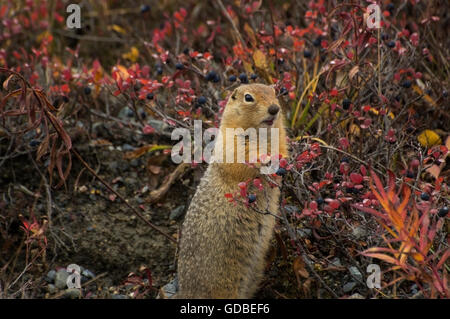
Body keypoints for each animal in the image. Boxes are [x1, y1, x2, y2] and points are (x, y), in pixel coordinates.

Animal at [177, 84, 288, 298]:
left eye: (274, 93)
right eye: (248, 97)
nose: (274, 109)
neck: (261, 134)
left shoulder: (280, 138)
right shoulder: (232, 143)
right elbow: (242, 160)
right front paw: (264, 162)